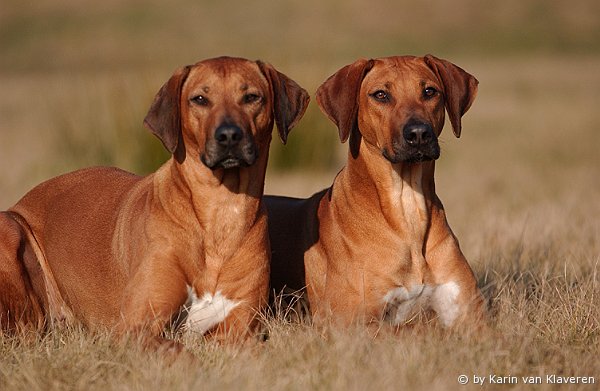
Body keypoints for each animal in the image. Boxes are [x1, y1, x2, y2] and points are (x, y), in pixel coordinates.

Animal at [0, 56, 310, 354]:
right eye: (200, 99)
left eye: (251, 97)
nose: (229, 136)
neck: (218, 212)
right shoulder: (134, 328)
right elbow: (179, 351)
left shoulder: (241, 330)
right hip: (11, 232)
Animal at [268, 54, 488, 330]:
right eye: (381, 95)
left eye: (429, 91)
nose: (419, 133)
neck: (407, 208)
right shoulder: (350, 324)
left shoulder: (471, 316)